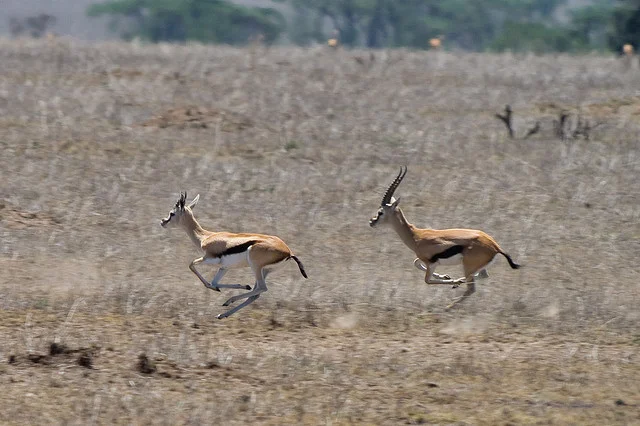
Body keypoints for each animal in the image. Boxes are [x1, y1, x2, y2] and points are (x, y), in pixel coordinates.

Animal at [160, 192, 308, 319]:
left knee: (262, 288)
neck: (204, 237)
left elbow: (192, 266)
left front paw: (219, 289)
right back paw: (223, 314)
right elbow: (214, 282)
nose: (163, 222)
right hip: (264, 270)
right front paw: (235, 286)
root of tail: (288, 251)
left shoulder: (208, 259)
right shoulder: (224, 267)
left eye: (172, 213)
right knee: (255, 294)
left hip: (255, 267)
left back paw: (229, 301)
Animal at [369, 167, 520, 309]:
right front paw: (448, 277)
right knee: (483, 276)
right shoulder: (427, 261)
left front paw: (451, 280)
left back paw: (449, 306)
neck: (416, 236)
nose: (372, 222)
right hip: (477, 267)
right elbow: (416, 263)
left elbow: (427, 280)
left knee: (471, 289)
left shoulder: (431, 263)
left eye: (381, 212)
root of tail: (494, 245)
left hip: (468, 267)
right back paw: (458, 285)